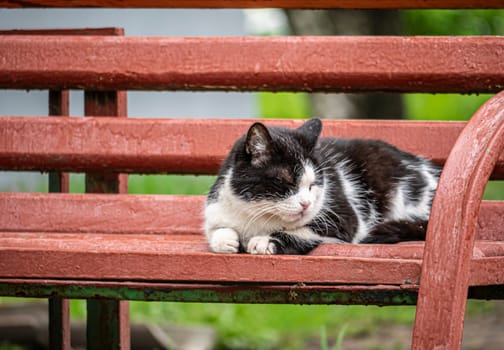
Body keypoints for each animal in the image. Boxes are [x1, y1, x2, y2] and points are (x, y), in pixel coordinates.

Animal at [203, 119, 440, 256]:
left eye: (314, 184)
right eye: (287, 182)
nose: (306, 204)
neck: (258, 216)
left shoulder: (344, 218)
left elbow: (303, 231)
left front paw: (264, 241)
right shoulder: (217, 207)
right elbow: (215, 230)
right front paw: (226, 240)